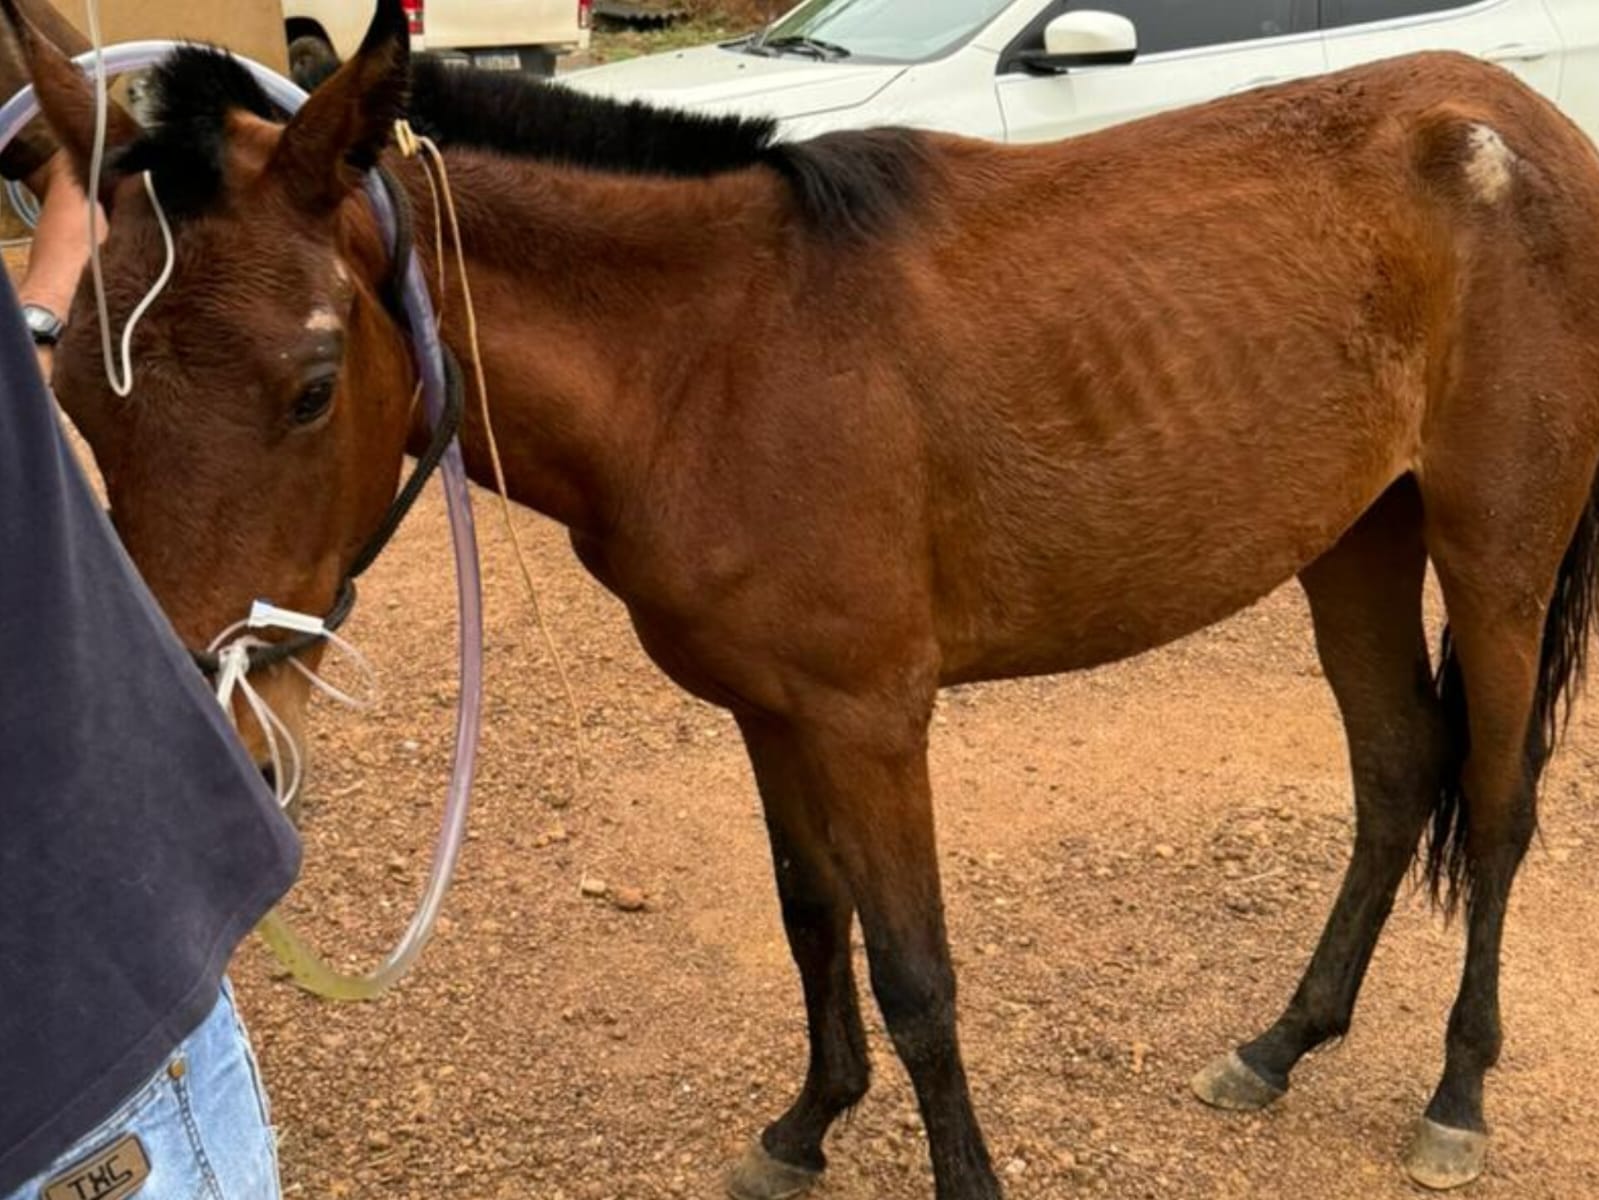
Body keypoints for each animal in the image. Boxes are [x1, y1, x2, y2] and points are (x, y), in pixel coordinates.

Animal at [12, 0, 1599, 1196]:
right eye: (76, 393)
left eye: (312, 384)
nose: (201, 761)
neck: (715, 352)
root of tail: (1515, 130)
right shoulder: (768, 713)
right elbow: (806, 915)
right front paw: (805, 1126)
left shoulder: (870, 719)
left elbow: (915, 974)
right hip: (1355, 540)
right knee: (1393, 774)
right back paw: (1280, 1044)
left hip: (1493, 553)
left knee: (1494, 804)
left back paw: (1456, 1096)